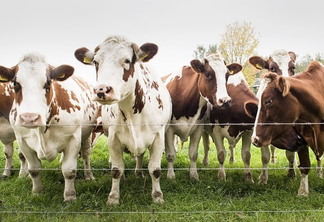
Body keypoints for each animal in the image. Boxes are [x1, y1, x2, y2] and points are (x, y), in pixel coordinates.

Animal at [0, 53, 100, 202]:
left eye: (47, 83)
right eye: (15, 83)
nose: (30, 118)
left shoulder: (73, 138)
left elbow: (69, 170)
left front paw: (70, 196)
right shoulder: (22, 140)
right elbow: (33, 169)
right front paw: (37, 191)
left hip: (87, 134)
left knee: (86, 155)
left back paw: (89, 175)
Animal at [74, 35, 172, 205]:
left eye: (127, 60)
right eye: (96, 62)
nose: (102, 90)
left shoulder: (158, 137)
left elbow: (155, 170)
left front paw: (157, 196)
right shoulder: (113, 138)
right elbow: (116, 169)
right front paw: (113, 197)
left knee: (140, 156)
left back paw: (139, 173)